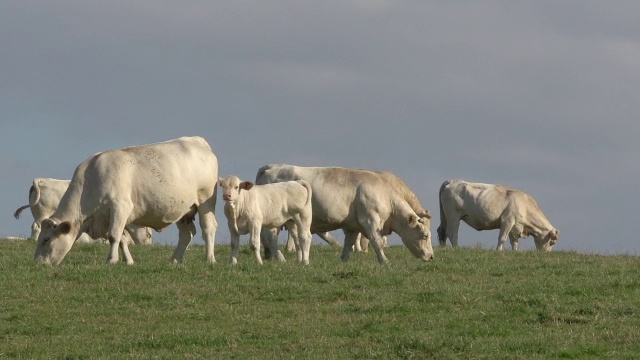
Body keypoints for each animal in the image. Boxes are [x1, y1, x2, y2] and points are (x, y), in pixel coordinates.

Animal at [33, 136, 219, 266]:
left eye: (46, 240)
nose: (37, 262)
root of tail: (197, 141)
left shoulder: (120, 206)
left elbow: (114, 236)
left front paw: (111, 260)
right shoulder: (112, 217)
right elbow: (121, 238)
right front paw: (128, 261)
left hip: (205, 200)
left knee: (208, 228)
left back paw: (209, 259)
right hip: (183, 209)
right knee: (187, 234)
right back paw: (175, 260)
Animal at [255, 165, 436, 262]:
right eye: (425, 235)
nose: (431, 257)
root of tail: (270, 166)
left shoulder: (352, 225)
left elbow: (349, 242)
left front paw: (344, 260)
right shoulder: (370, 220)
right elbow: (376, 242)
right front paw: (385, 261)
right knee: (270, 237)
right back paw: (281, 258)